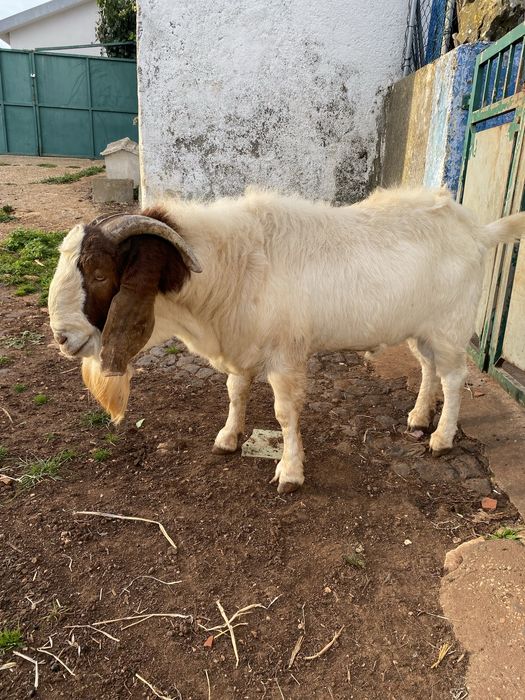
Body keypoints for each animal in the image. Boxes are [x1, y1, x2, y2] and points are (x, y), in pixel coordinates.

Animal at [48, 187, 524, 493]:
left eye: (99, 273)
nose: (62, 338)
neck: (233, 265)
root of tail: (477, 231)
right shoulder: (242, 345)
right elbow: (236, 391)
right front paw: (228, 437)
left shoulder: (286, 355)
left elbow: (284, 413)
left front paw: (290, 472)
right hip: (421, 328)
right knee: (428, 368)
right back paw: (418, 418)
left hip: (449, 326)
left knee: (454, 378)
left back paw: (441, 438)